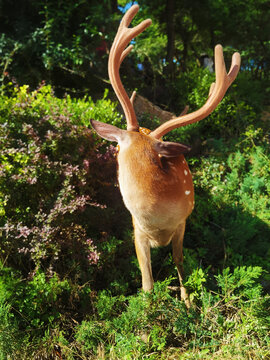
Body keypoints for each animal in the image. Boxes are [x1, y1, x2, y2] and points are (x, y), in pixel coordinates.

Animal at [90, 4, 240, 306]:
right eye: (117, 149)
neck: (155, 220)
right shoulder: (137, 230)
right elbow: (146, 281)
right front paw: (147, 313)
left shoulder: (182, 222)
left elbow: (179, 261)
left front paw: (188, 301)